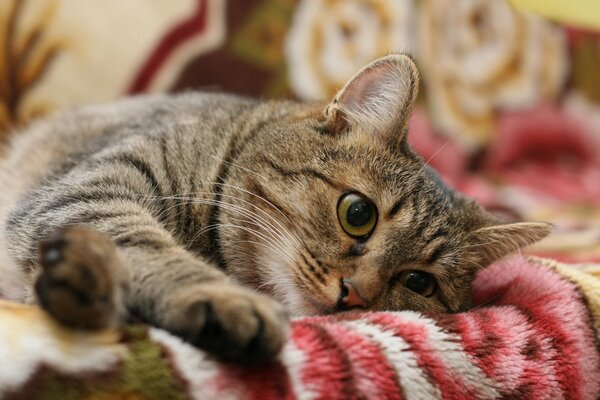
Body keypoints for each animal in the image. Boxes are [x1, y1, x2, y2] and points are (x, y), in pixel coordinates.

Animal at [0, 54, 548, 364]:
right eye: (357, 214)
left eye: (418, 283)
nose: (355, 295)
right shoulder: (94, 189)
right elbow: (149, 245)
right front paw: (219, 297)